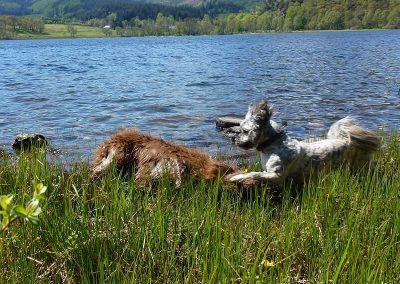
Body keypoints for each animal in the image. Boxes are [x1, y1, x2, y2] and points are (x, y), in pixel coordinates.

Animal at [230, 99, 380, 184]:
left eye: (244, 130)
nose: (233, 138)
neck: (273, 146)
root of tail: (347, 140)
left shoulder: (276, 175)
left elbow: (254, 173)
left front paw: (238, 177)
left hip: (360, 164)